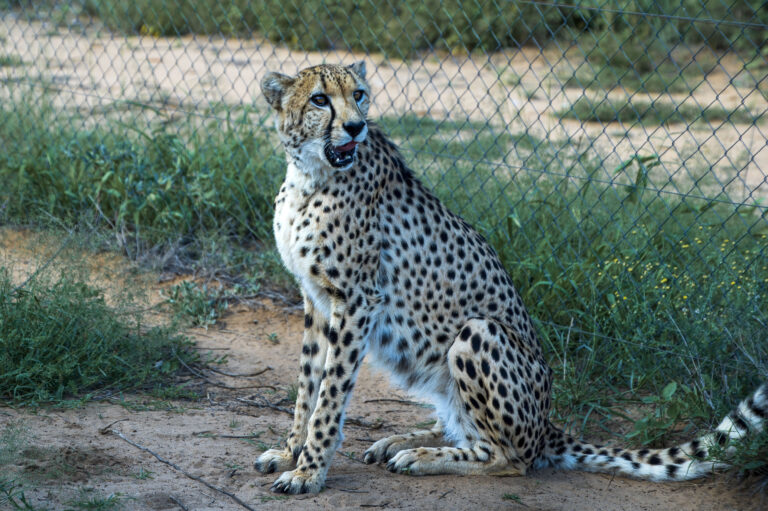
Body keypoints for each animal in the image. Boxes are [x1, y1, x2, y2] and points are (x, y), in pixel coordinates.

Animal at [254, 62, 768, 494]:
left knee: (508, 456)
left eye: (358, 95)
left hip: (477, 332)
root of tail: (547, 425)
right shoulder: (316, 300)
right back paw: (403, 441)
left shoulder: (357, 300)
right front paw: (290, 454)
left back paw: (421, 455)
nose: (355, 126)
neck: (310, 174)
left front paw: (310, 471)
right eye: (320, 99)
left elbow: (329, 396)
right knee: (463, 427)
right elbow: (307, 386)